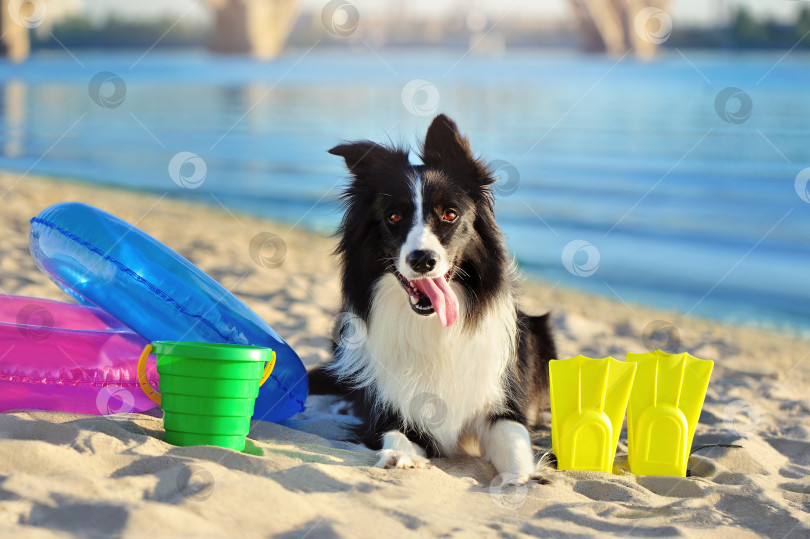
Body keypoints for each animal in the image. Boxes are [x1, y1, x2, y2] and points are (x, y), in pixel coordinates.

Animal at [310, 114, 556, 486]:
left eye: (450, 215)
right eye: (394, 217)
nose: (423, 260)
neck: (430, 327)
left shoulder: (499, 402)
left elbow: (515, 442)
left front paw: (521, 478)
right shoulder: (387, 410)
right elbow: (393, 433)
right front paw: (402, 457)